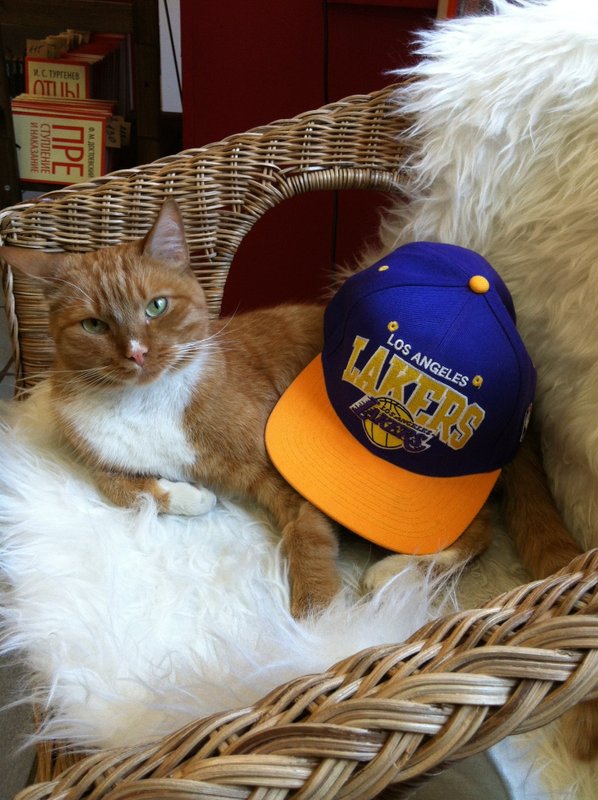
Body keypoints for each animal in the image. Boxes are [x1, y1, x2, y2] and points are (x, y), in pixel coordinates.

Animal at [1, 198, 596, 758]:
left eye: (157, 306)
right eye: (94, 325)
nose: (138, 352)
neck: (146, 402)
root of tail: (521, 422)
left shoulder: (280, 471)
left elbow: (305, 540)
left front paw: (315, 631)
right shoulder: (93, 450)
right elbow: (116, 483)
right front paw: (187, 496)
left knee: (477, 532)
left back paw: (394, 572)